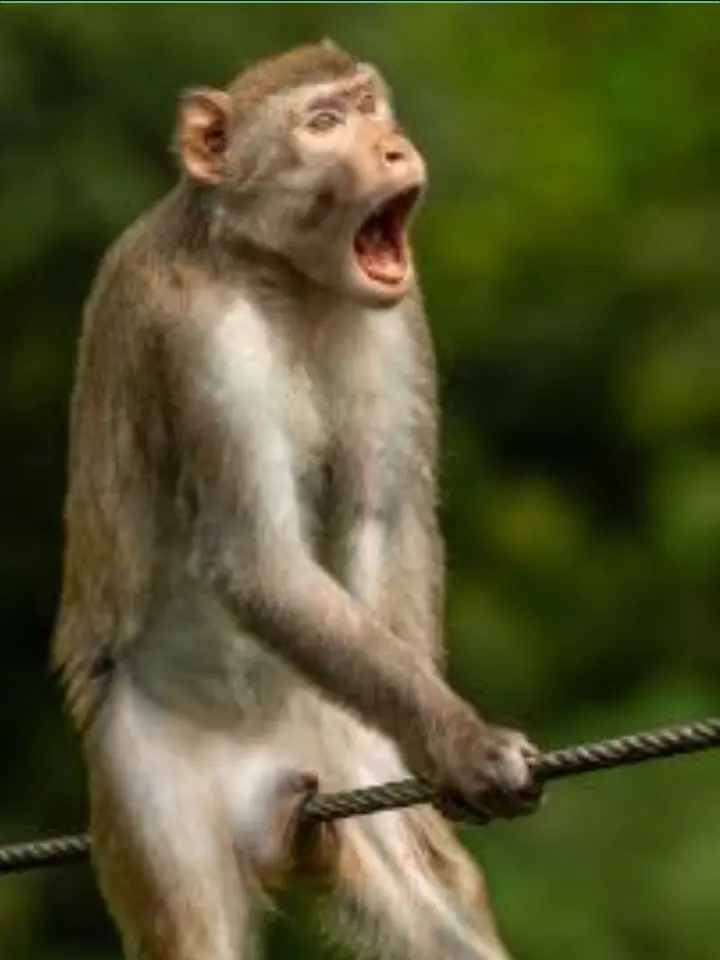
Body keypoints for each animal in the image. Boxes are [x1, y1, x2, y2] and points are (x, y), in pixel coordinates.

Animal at [52, 40, 543, 960]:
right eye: (323, 123)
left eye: (370, 106)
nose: (393, 148)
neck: (278, 277)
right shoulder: (199, 336)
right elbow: (257, 560)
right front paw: (463, 741)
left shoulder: (398, 317)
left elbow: (385, 518)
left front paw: (435, 746)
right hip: (148, 782)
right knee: (193, 926)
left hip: (334, 752)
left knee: (432, 911)